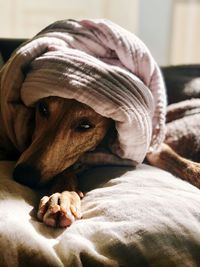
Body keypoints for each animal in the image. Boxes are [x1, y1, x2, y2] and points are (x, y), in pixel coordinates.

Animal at [12, 94, 200, 228]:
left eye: (85, 125)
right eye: (43, 108)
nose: (23, 175)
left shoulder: (152, 147)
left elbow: (179, 161)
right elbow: (65, 171)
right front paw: (60, 196)